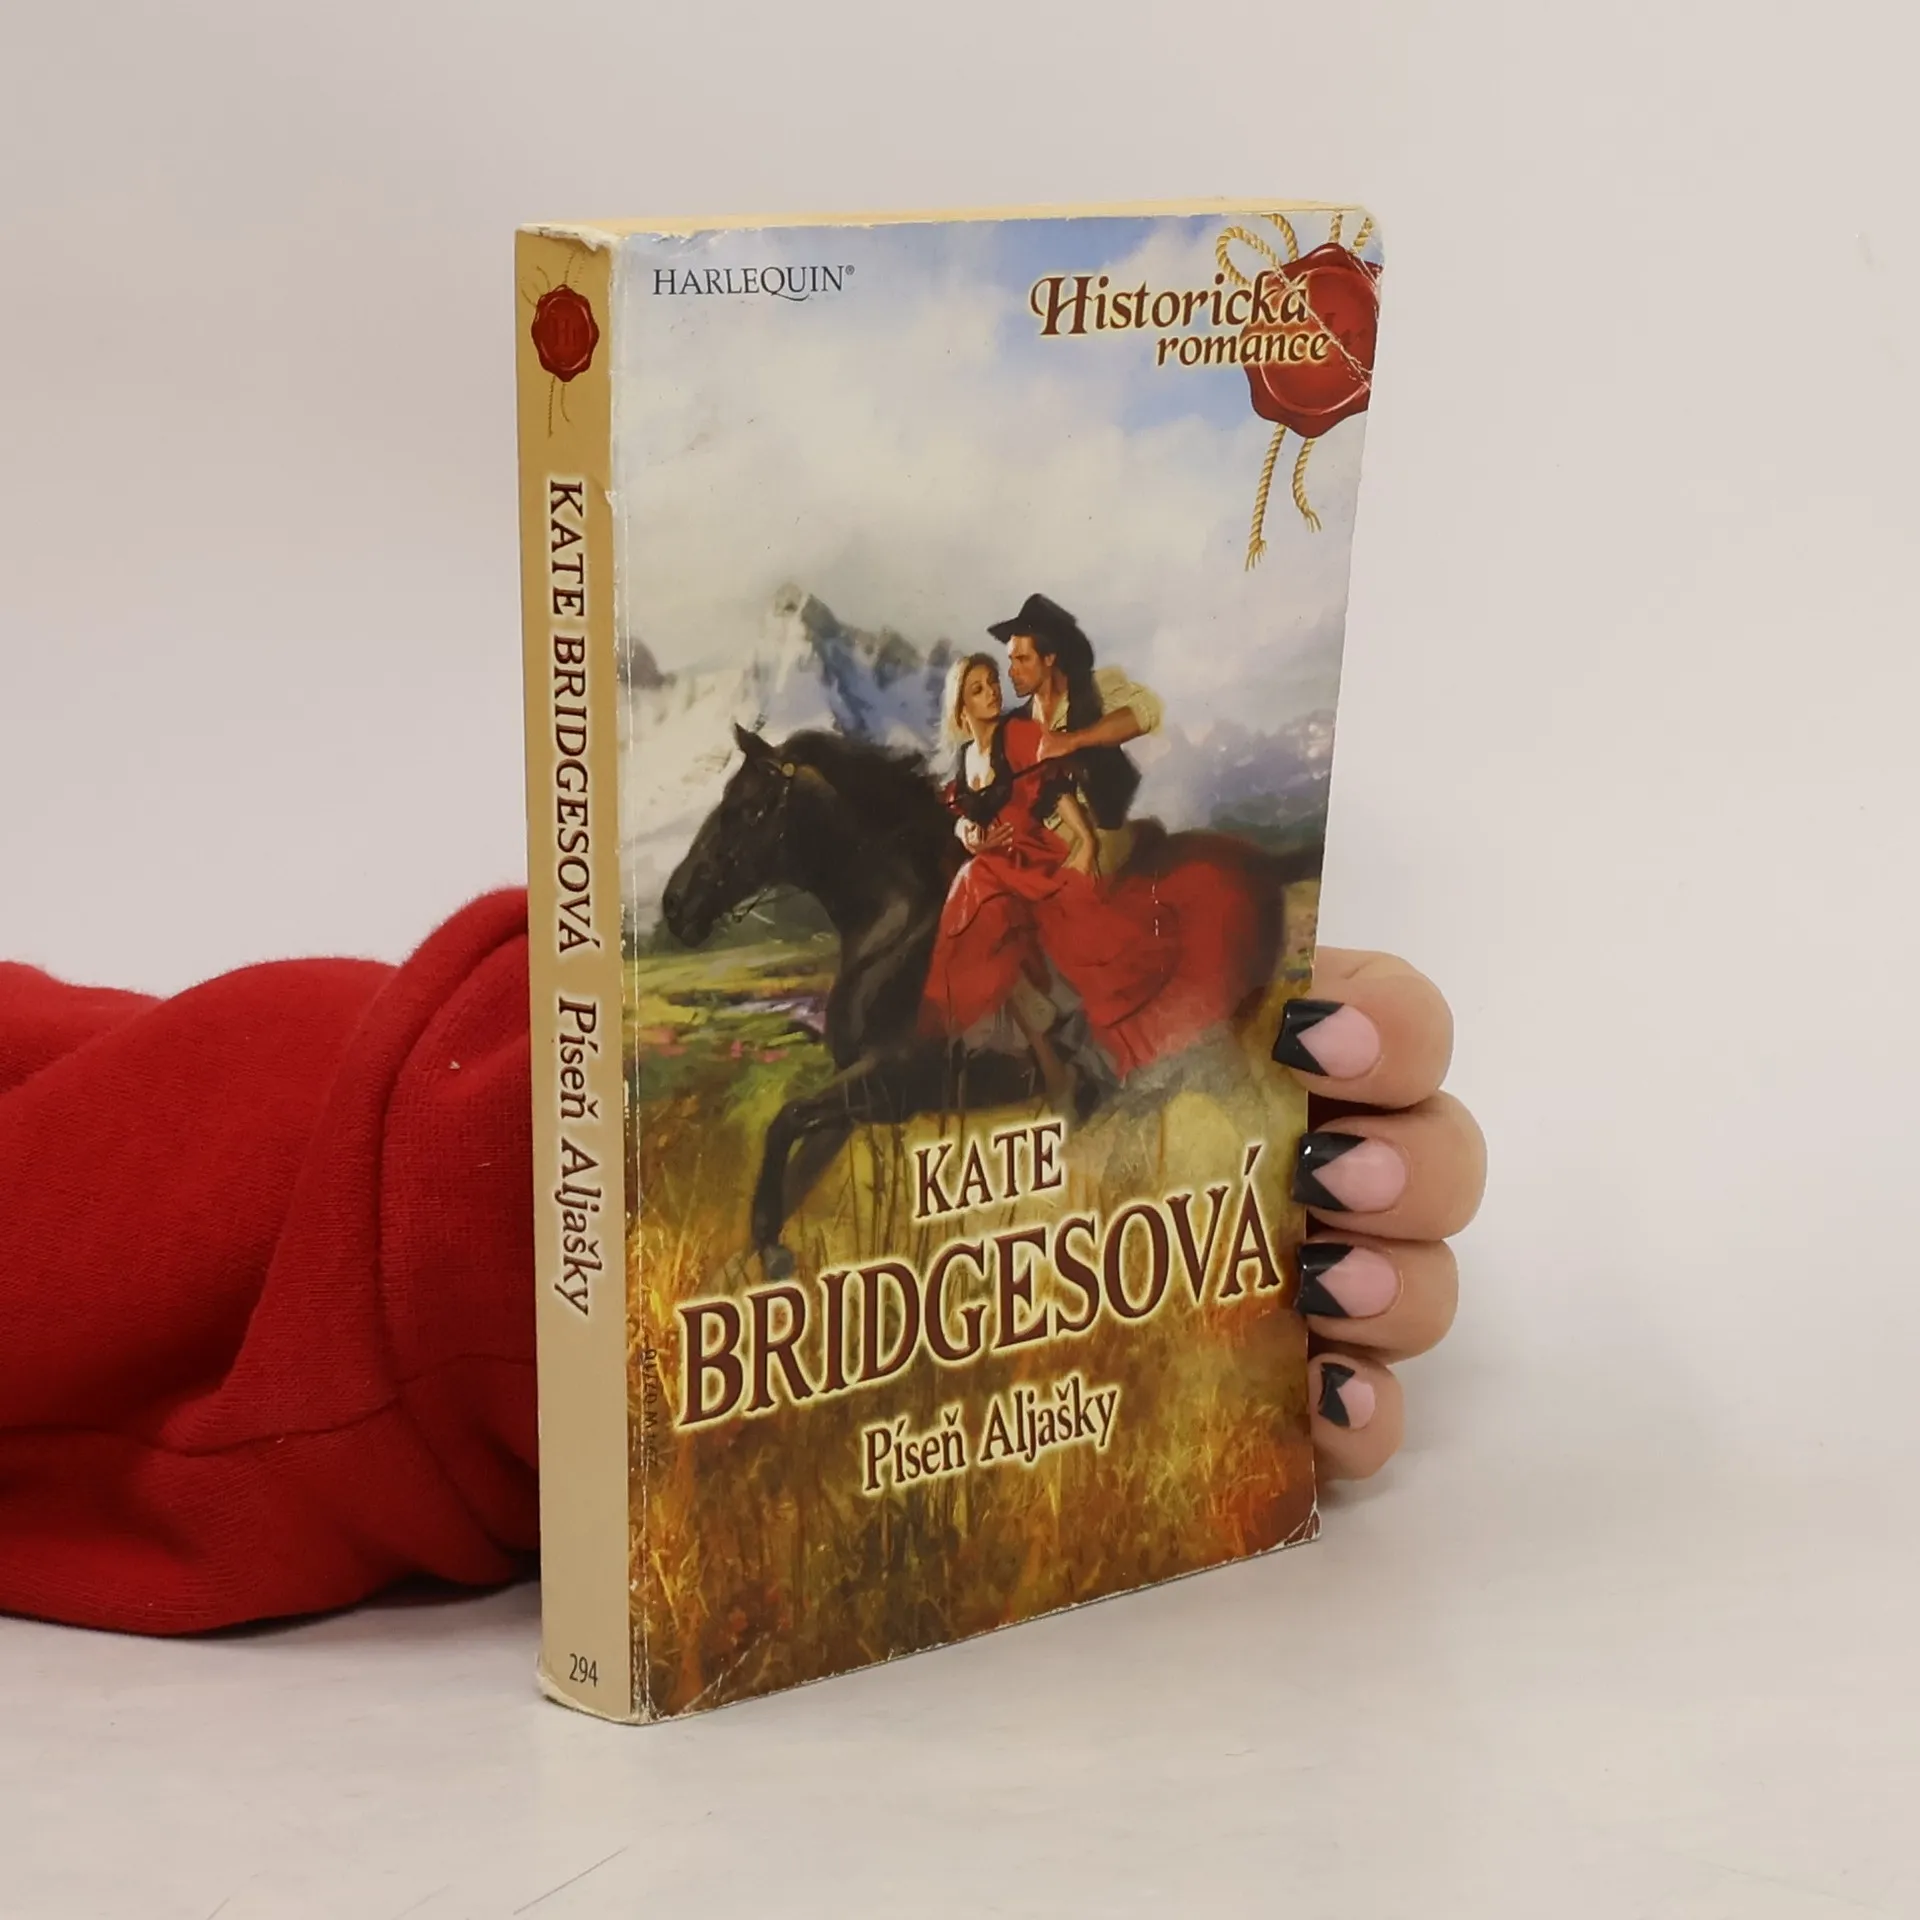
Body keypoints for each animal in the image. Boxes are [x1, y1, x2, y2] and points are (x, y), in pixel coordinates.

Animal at [660, 721, 1315, 1268]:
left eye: (746, 810)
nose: (675, 904)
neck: (903, 926)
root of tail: (1266, 866)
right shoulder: (860, 1097)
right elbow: (794, 1157)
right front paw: (758, 1259)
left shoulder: (894, 1080)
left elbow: (784, 1120)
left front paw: (771, 1253)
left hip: (1208, 1056)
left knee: (1259, 1125)